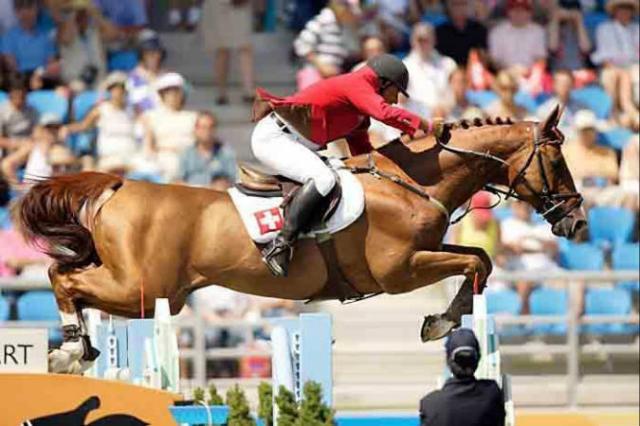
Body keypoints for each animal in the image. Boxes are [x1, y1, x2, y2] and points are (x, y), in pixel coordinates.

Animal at [13, 106, 587, 373]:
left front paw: (442, 320)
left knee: (67, 278)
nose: (577, 223)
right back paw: (69, 349)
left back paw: (78, 349)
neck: (411, 181)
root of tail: (120, 185)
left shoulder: (422, 257)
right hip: (147, 289)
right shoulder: (400, 272)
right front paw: (440, 322)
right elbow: (473, 264)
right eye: (557, 161)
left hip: (149, 293)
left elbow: (479, 259)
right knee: (62, 277)